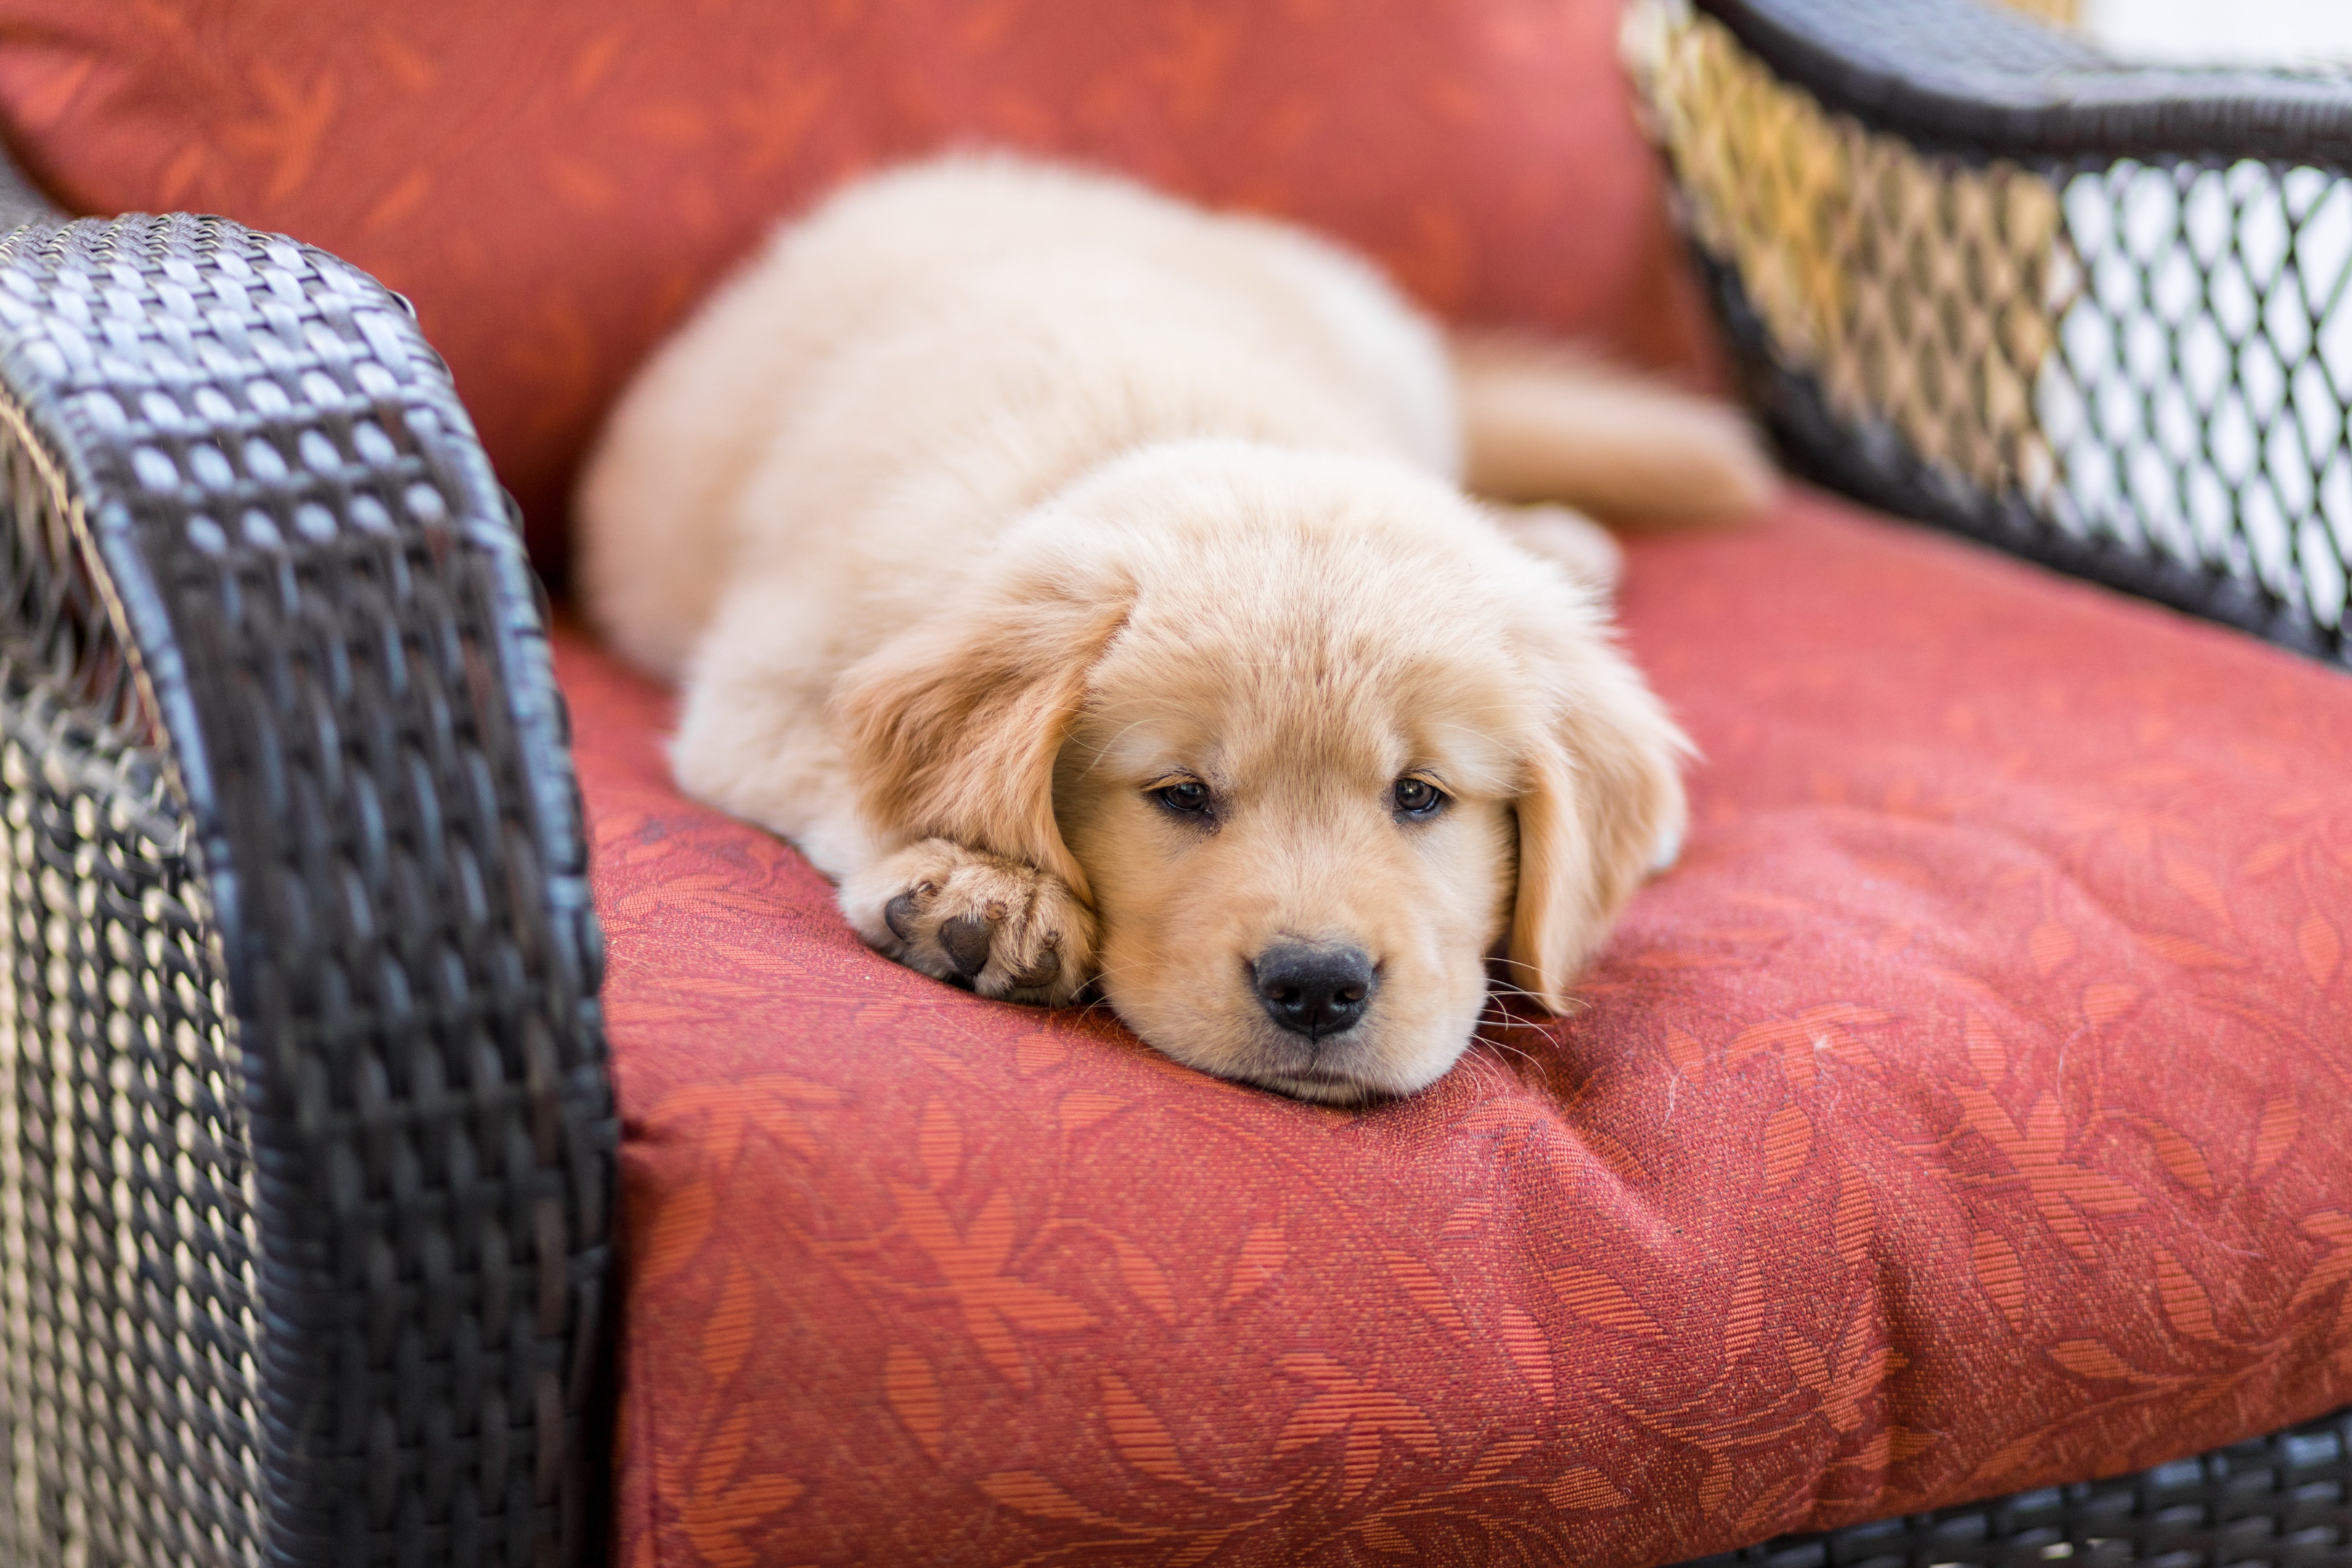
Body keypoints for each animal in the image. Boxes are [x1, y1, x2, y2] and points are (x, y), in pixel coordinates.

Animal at [579, 150, 1768, 1105]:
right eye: (1181, 796)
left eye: (1422, 797)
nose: (1318, 987)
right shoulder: (768, 679)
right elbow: (840, 771)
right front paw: (989, 882)